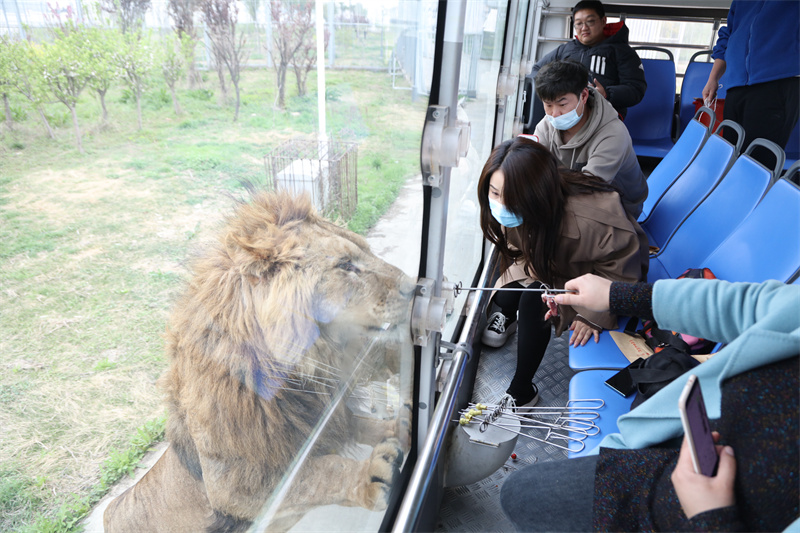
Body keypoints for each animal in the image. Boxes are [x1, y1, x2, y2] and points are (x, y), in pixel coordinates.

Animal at [103, 191, 416, 532]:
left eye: (367, 251)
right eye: (345, 265)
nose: (416, 287)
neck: (298, 376)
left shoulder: (325, 415)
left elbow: (362, 425)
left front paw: (400, 423)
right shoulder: (231, 487)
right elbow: (313, 476)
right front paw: (369, 476)